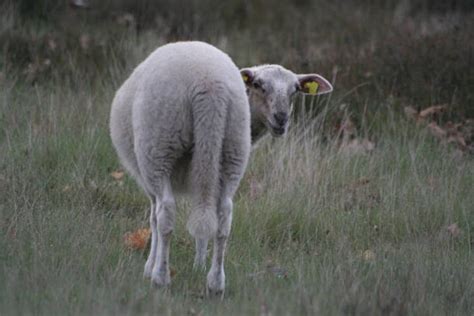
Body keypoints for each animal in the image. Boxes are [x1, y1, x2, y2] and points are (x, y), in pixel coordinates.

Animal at [110, 40, 334, 296]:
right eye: (258, 85)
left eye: (295, 89)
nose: (281, 118)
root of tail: (208, 84)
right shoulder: (206, 173)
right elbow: (202, 216)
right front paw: (198, 265)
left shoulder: (148, 176)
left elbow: (154, 220)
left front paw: (150, 266)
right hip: (230, 149)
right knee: (224, 217)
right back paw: (216, 282)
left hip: (159, 145)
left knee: (165, 213)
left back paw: (161, 277)